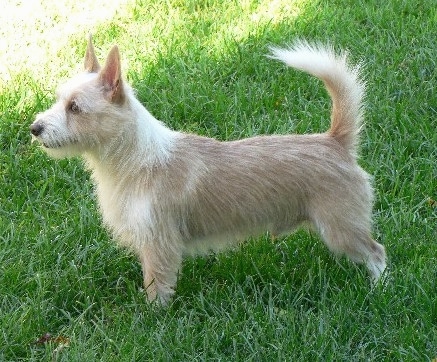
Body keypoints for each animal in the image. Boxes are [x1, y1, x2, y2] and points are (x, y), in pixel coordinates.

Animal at [29, 36, 384, 304]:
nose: (35, 128)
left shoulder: (159, 246)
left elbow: (156, 286)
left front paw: (153, 318)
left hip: (340, 229)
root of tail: (335, 141)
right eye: (58, 100)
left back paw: (378, 290)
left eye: (75, 108)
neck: (139, 160)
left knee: (377, 254)